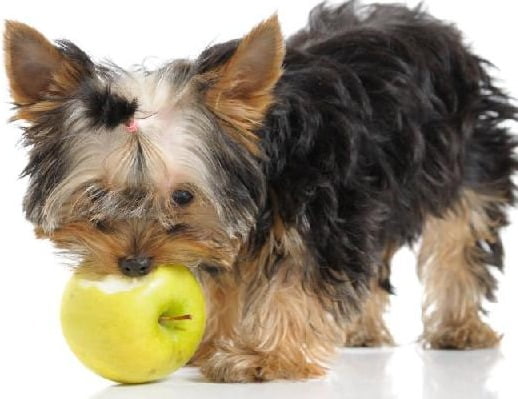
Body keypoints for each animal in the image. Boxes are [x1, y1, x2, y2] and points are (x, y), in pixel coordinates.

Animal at [3, 0, 516, 382]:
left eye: (183, 196)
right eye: (95, 195)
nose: (133, 265)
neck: (264, 165)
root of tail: (434, 26)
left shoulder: (318, 208)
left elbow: (298, 280)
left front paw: (266, 357)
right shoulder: (228, 230)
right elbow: (223, 279)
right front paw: (213, 341)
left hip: (469, 156)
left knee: (461, 237)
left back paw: (459, 328)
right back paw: (361, 329)